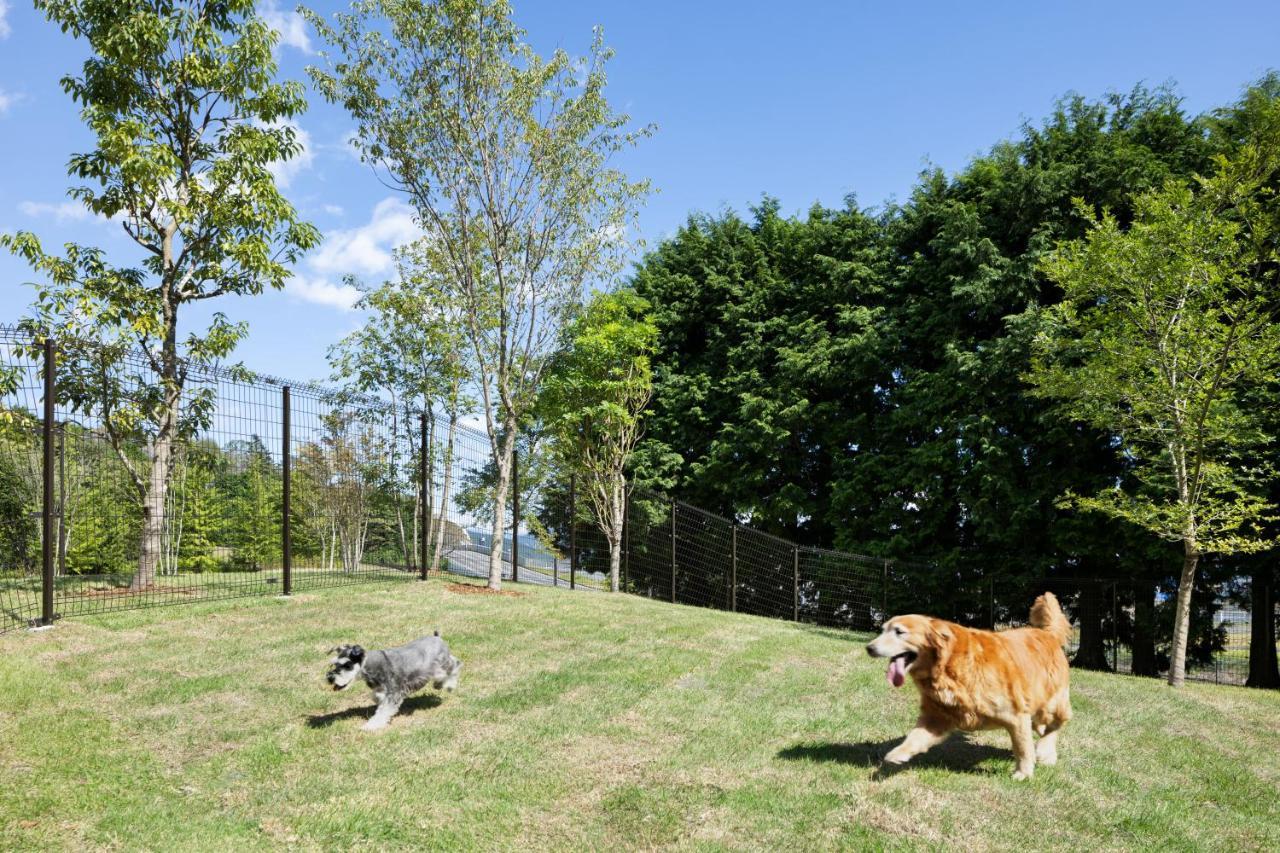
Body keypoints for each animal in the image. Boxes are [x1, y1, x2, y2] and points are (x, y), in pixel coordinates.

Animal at [327, 627, 463, 727]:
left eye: (347, 665)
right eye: (334, 664)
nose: (330, 678)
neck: (372, 665)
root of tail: (437, 637)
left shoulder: (394, 693)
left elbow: (383, 711)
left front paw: (370, 726)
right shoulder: (381, 689)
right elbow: (377, 697)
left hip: (441, 665)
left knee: (455, 665)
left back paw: (449, 685)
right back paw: (438, 685)